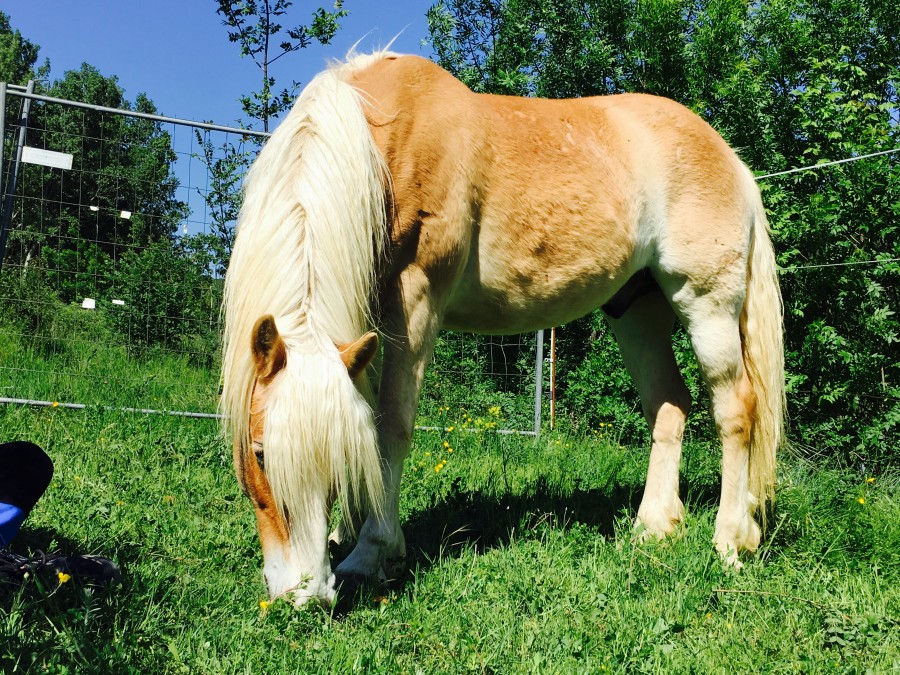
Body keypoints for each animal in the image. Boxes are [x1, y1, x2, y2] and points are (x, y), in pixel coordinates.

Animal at [218, 50, 780, 604]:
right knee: (668, 405)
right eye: (259, 452)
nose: (306, 596)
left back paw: (731, 539)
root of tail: (729, 157)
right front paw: (349, 533)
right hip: (635, 311)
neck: (379, 141)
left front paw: (371, 552)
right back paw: (654, 528)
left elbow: (391, 424)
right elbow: (363, 418)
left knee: (736, 409)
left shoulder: (414, 300)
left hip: (706, 303)